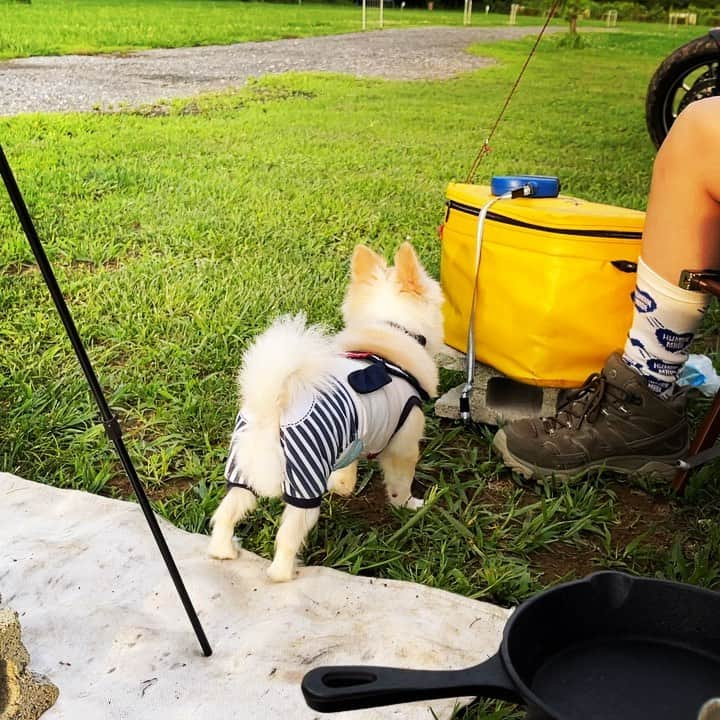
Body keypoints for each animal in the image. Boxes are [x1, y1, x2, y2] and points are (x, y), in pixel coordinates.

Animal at [208, 245, 442, 584]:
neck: (389, 330)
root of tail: (272, 410)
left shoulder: (353, 438)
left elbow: (346, 471)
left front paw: (343, 487)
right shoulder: (403, 445)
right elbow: (401, 482)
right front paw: (408, 506)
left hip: (242, 473)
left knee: (225, 514)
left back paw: (223, 552)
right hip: (303, 488)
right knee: (286, 539)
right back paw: (284, 574)